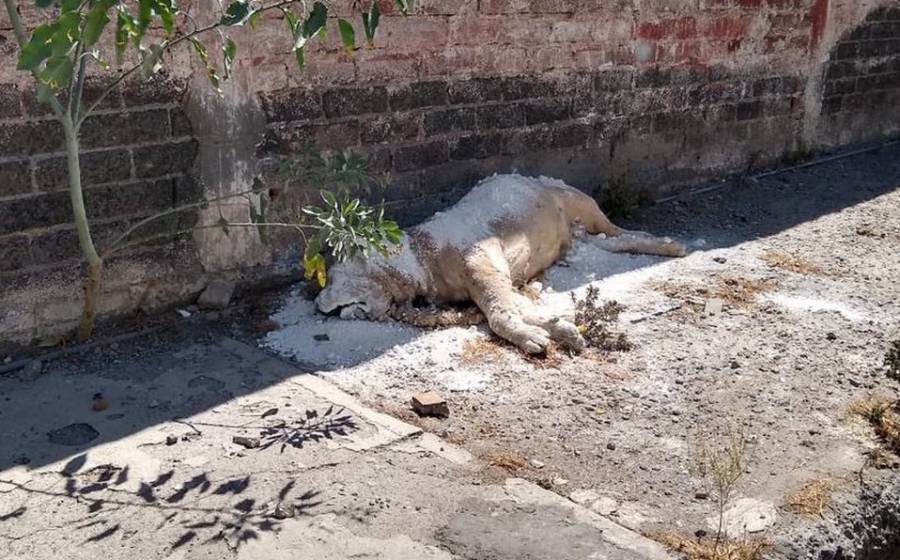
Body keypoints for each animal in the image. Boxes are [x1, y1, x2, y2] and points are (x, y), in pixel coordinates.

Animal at [316, 174, 686, 354]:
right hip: (579, 234)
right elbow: (515, 307)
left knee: (617, 230)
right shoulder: (490, 281)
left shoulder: (483, 264)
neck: (422, 256)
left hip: (577, 199)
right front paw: (556, 328)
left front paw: (529, 335)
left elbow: (500, 313)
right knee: (610, 241)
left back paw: (668, 244)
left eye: (335, 275)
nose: (317, 303)